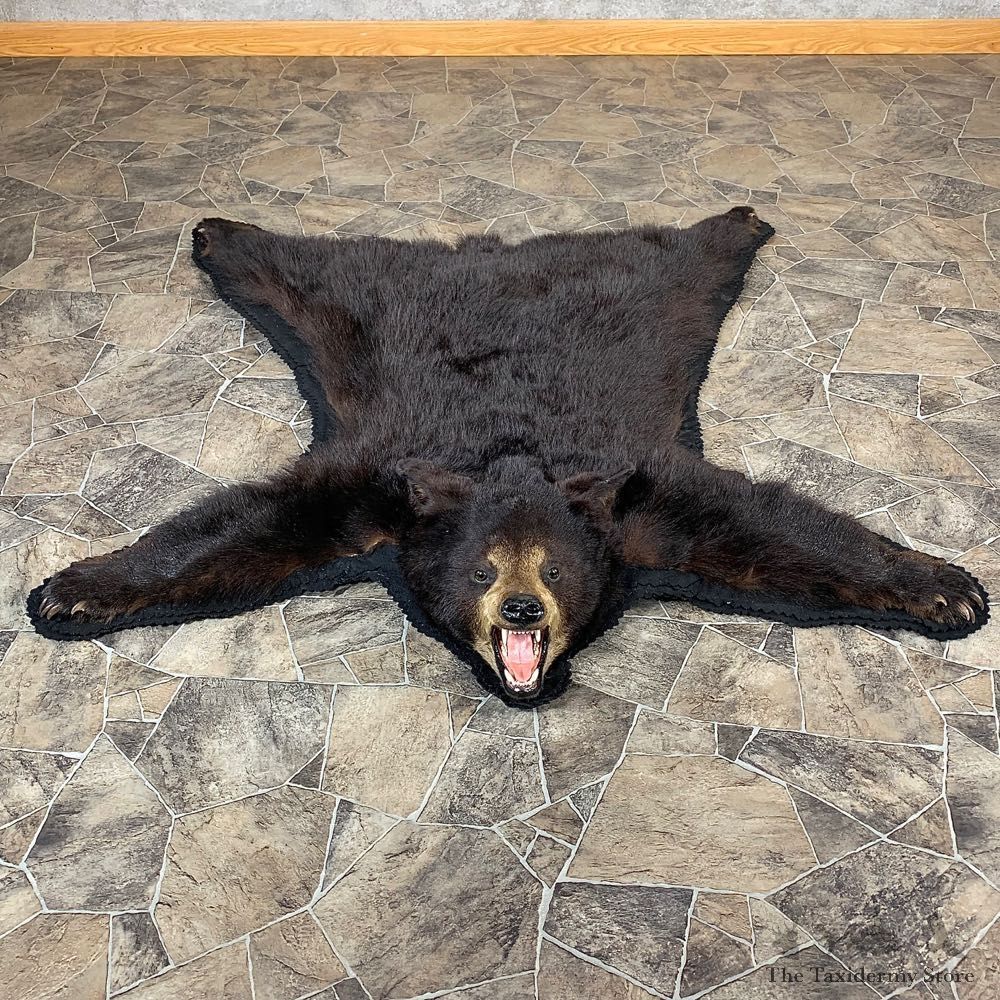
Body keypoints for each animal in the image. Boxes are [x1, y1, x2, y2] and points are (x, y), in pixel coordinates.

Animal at [33, 208, 987, 703]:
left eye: (555, 570)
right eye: (484, 568)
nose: (524, 610)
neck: (514, 456)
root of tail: (493, 254)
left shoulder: (641, 500)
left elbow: (766, 530)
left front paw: (945, 587)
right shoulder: (379, 485)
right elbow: (256, 526)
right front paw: (73, 590)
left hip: (657, 287)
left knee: (688, 248)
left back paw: (737, 219)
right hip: (355, 303)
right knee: (299, 265)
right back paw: (217, 230)